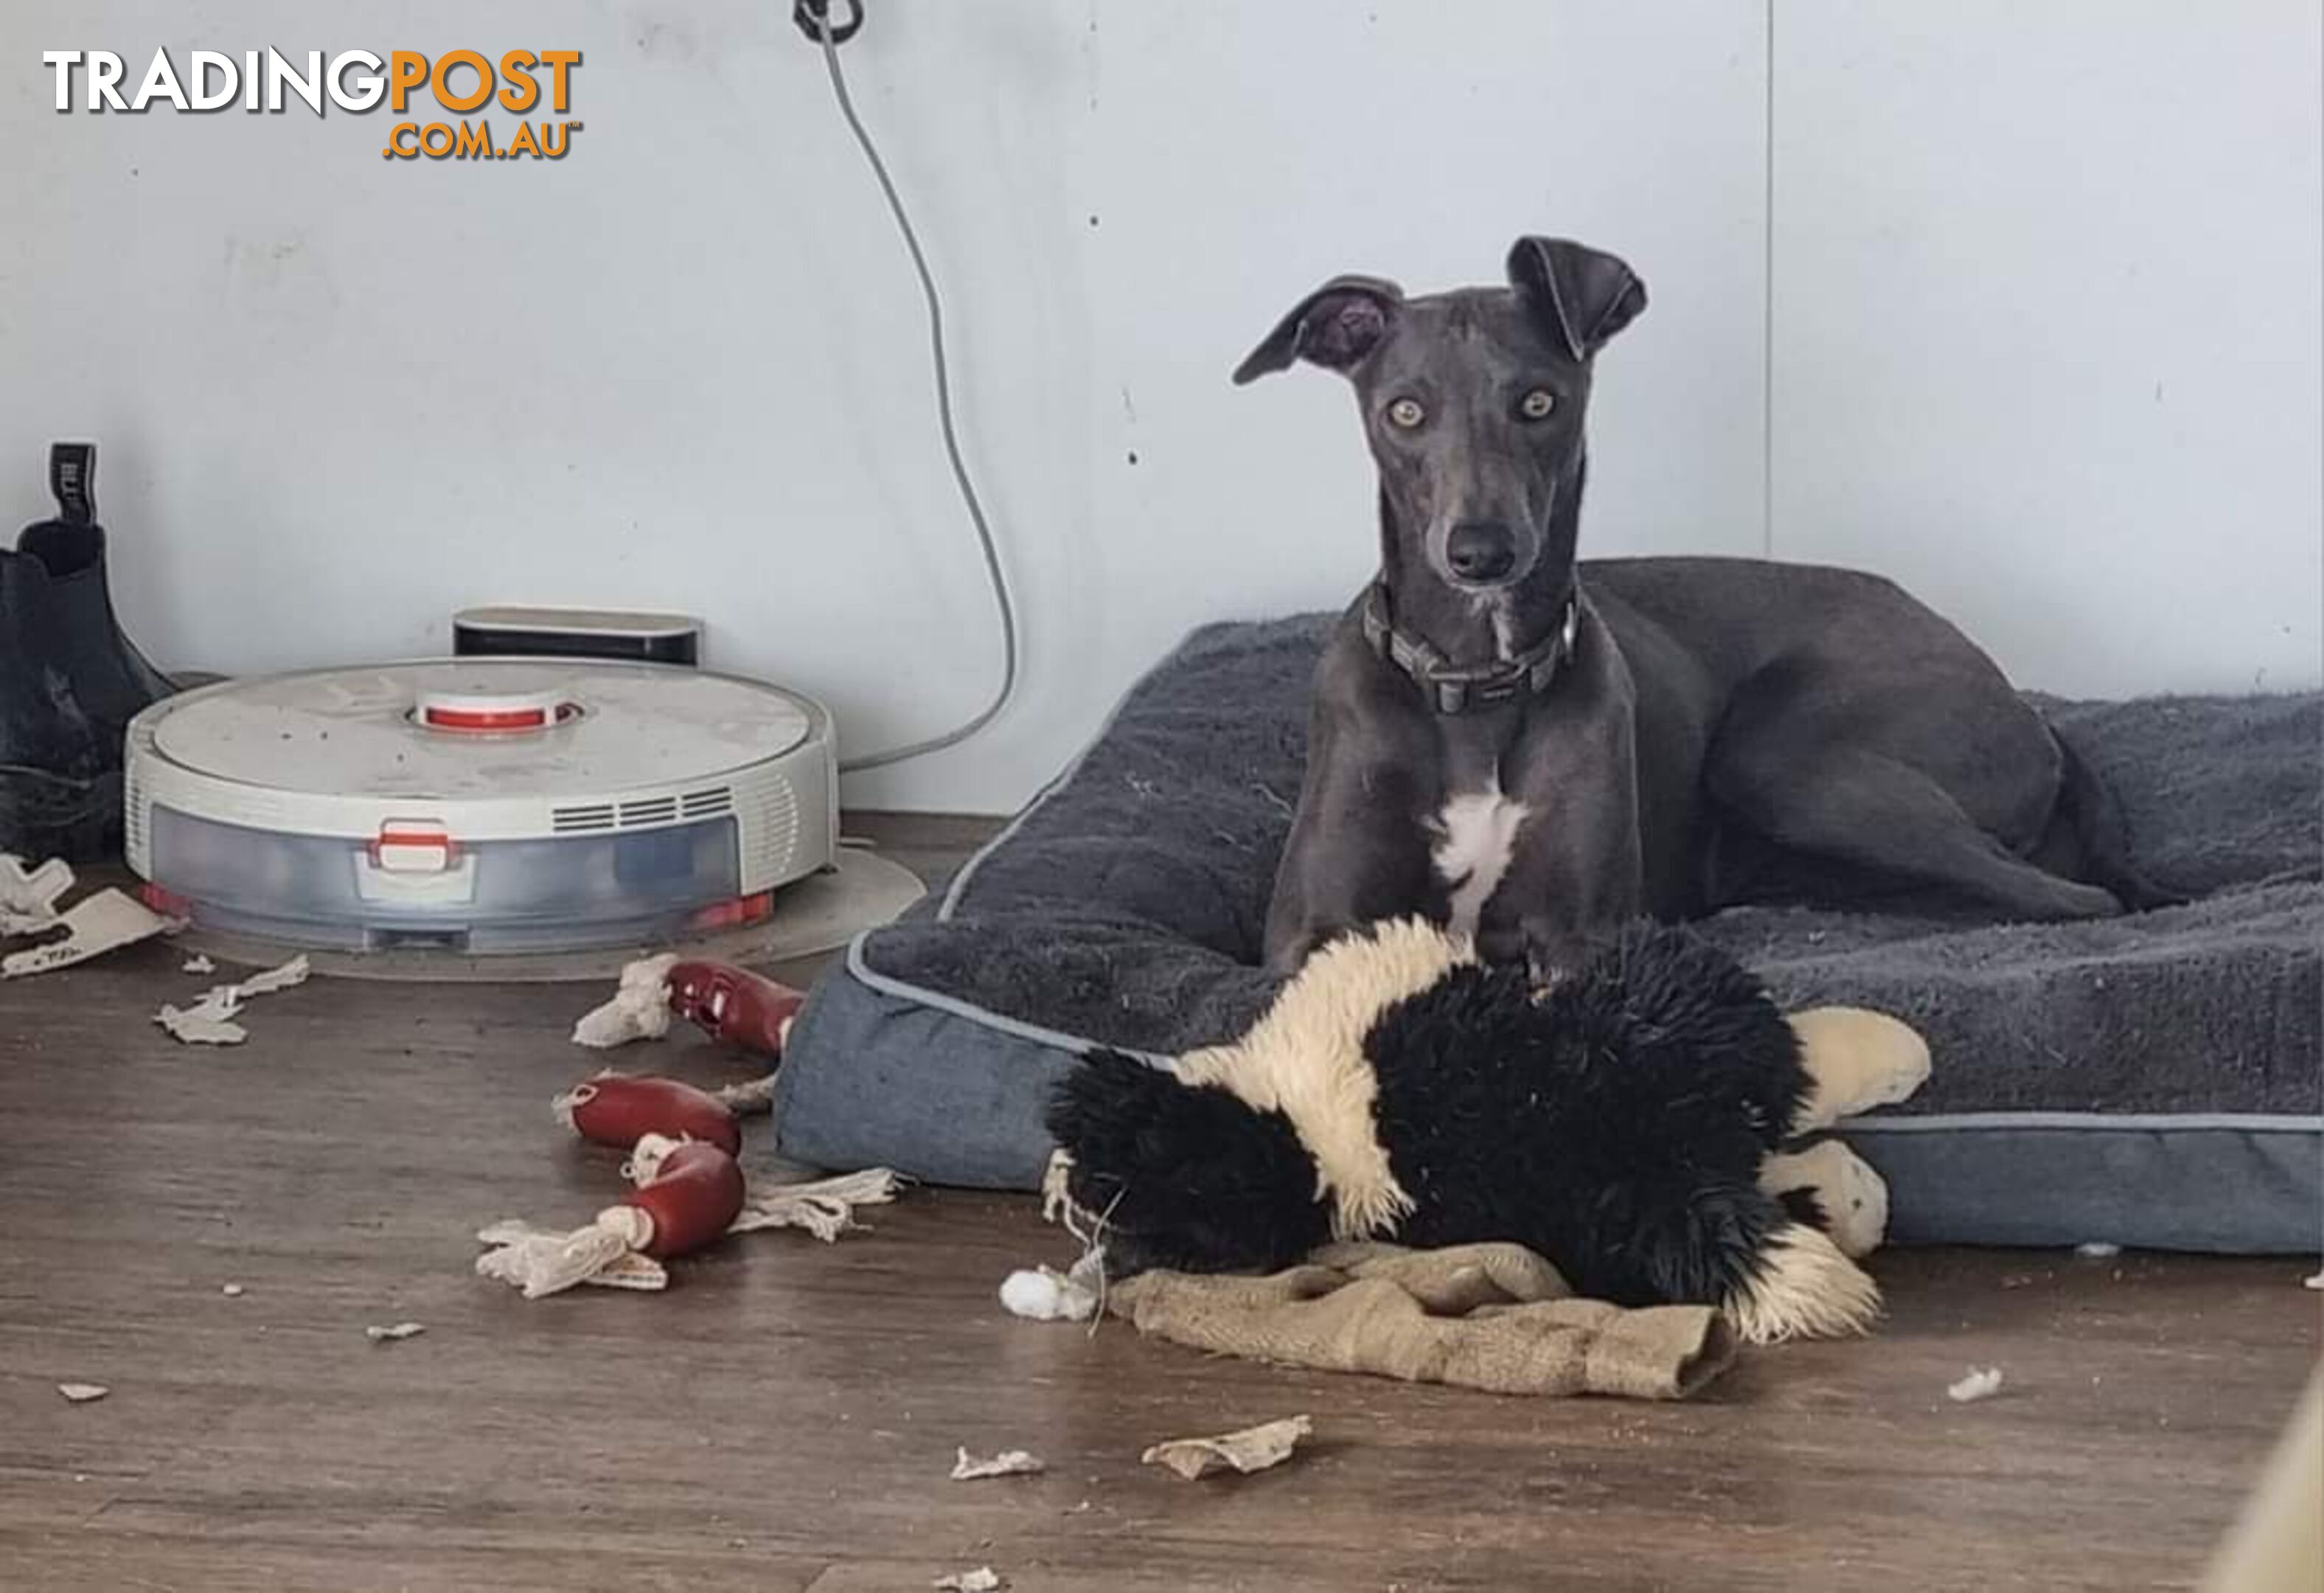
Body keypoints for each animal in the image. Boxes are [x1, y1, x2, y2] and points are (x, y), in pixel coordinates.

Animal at [1245, 231, 2165, 976]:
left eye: (1539, 401)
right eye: (1403, 411)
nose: (1479, 555)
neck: (1479, 680)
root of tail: (2021, 705)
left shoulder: (1581, 931)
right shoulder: (1311, 932)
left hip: (1786, 758)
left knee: (2071, 899)